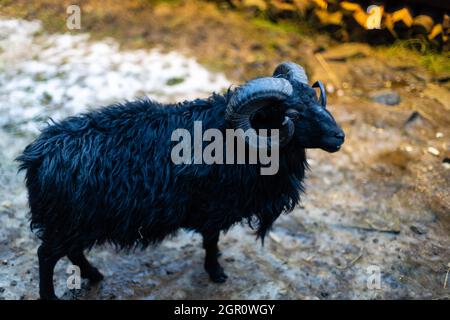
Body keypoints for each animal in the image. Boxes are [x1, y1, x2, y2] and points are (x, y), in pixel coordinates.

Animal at [15, 61, 342, 298]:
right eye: (293, 114)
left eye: (315, 98)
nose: (339, 136)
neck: (234, 140)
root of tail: (37, 156)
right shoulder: (213, 207)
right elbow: (211, 241)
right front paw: (216, 272)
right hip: (67, 220)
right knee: (46, 255)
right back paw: (51, 295)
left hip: (76, 223)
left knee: (72, 251)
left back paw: (95, 275)